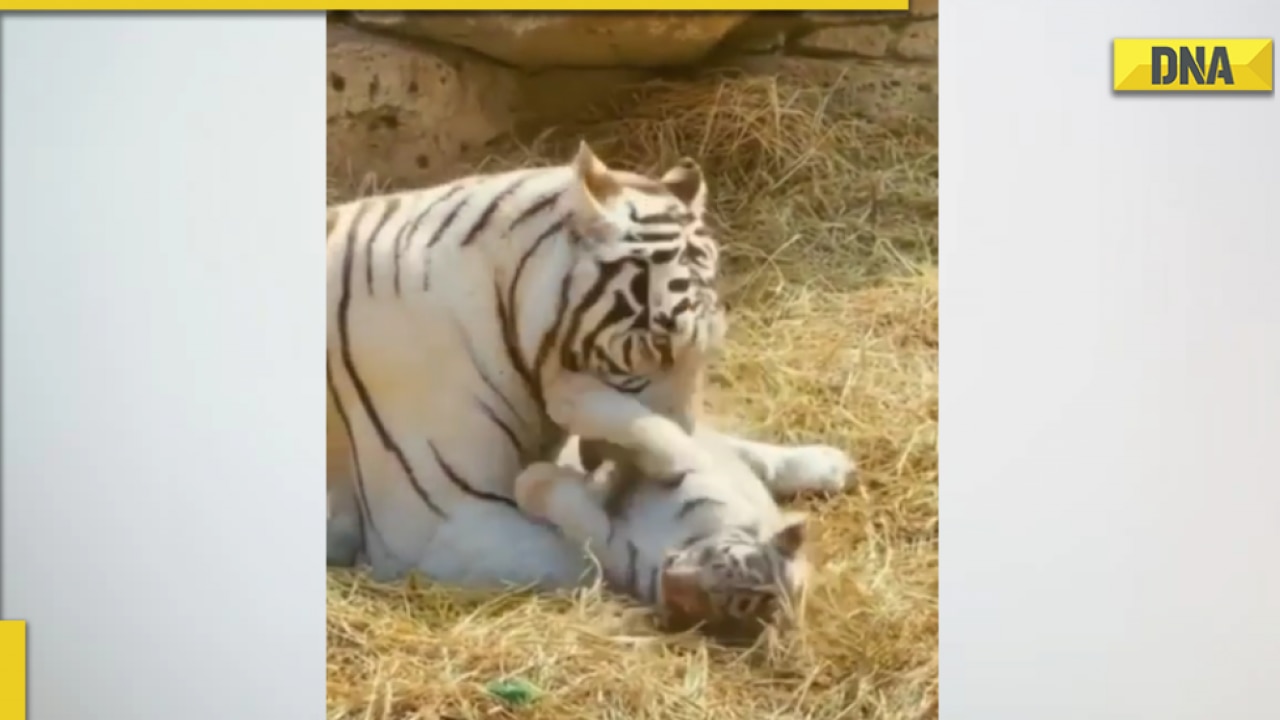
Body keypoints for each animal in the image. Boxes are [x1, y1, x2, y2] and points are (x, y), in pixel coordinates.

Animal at [325, 140, 855, 584]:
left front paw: (823, 462)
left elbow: (714, 444)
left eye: (707, 355)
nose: (665, 476)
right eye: (656, 347)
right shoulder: (446, 524)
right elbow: (595, 556)